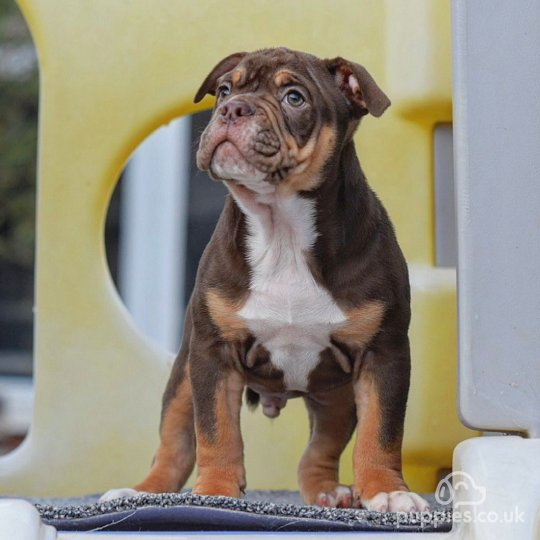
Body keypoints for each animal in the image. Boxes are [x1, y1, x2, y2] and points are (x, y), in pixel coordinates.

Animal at [101, 48, 430, 512]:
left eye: (294, 98)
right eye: (224, 90)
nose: (232, 109)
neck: (281, 229)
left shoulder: (384, 353)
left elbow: (382, 431)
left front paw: (386, 490)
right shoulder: (213, 354)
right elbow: (216, 431)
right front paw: (215, 492)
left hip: (336, 398)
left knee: (319, 450)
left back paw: (328, 492)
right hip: (184, 374)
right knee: (175, 443)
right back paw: (143, 491)